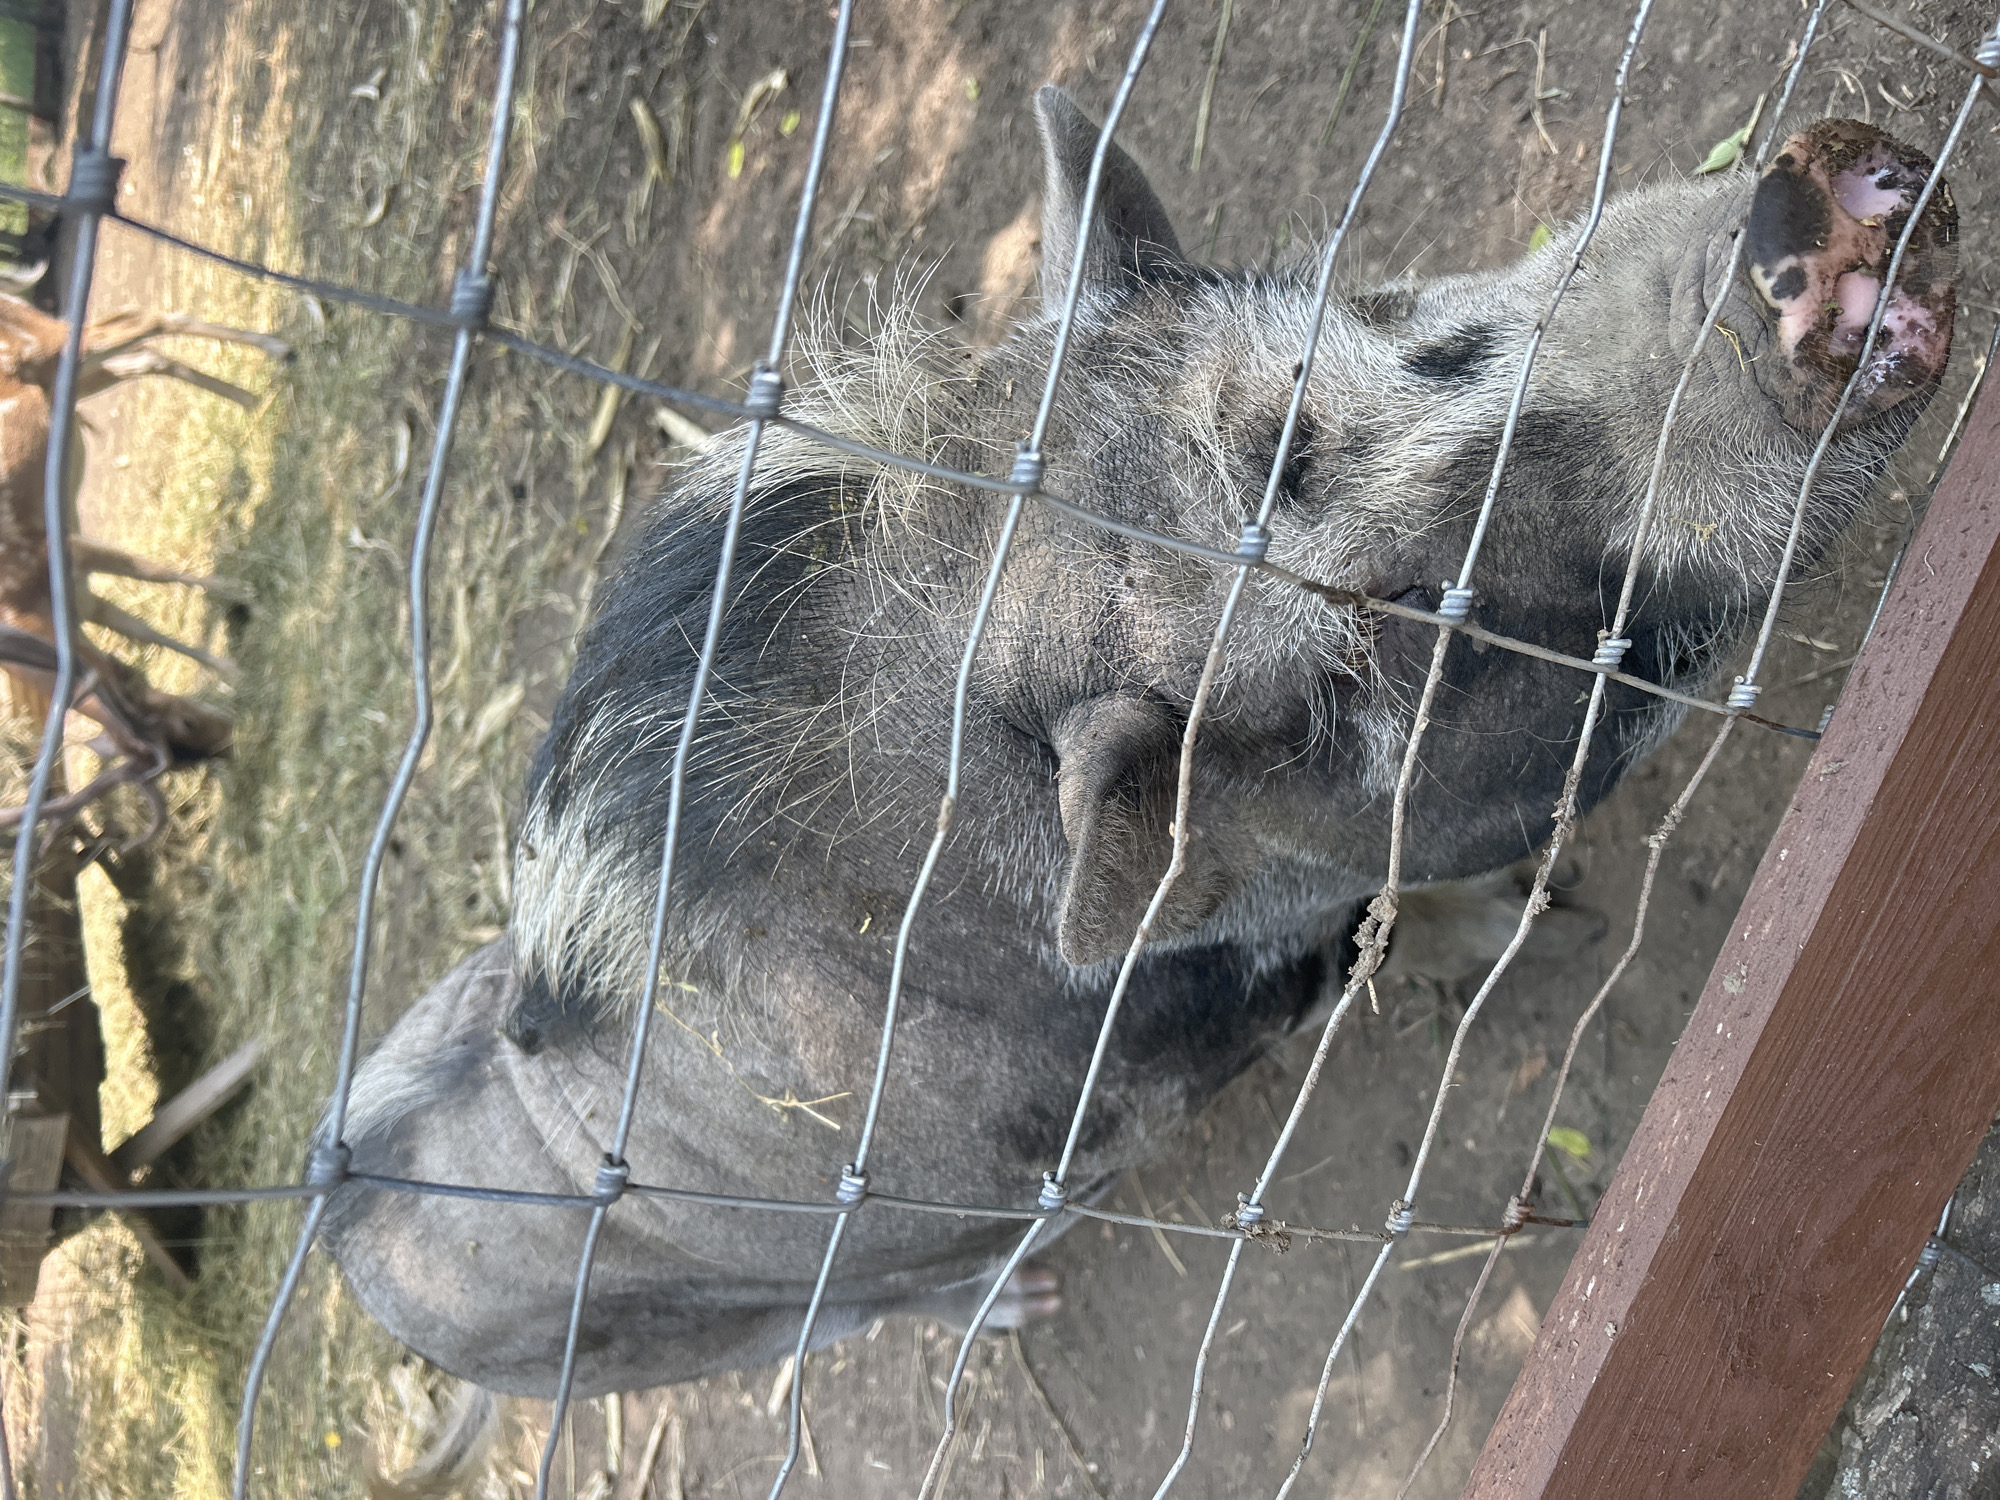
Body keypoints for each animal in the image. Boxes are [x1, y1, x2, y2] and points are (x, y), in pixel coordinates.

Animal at [322, 91, 1958, 1403]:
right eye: (1386, 633)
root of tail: (352, 1259)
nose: (1792, 221)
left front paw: (1544, 913)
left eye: (1365, 302)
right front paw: (1546, 930)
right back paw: (1019, 1302)